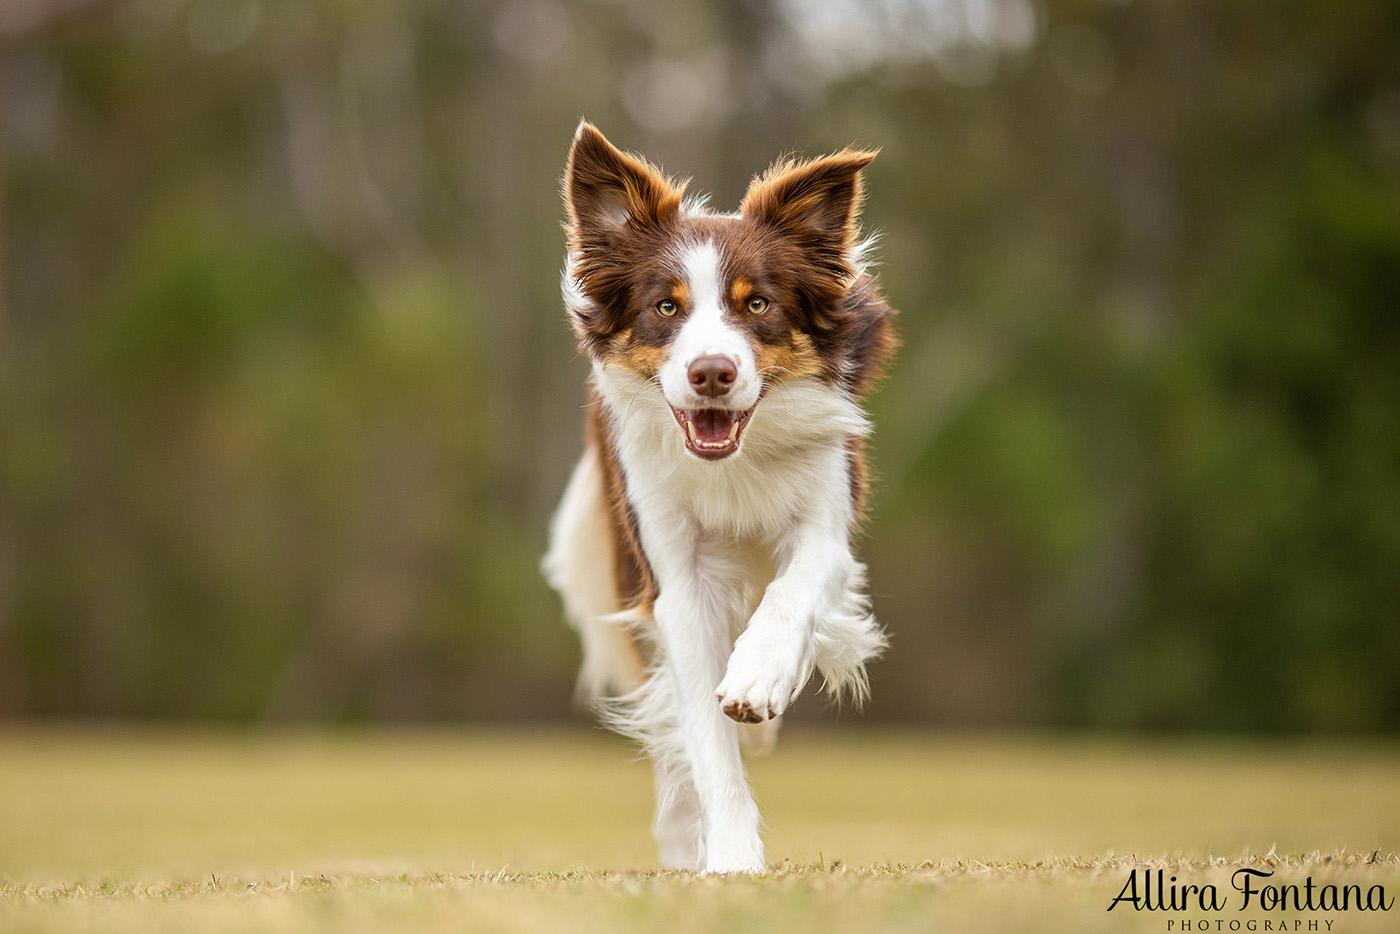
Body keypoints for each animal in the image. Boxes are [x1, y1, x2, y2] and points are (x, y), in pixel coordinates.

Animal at [540, 122, 890, 879]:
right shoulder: (670, 570)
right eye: (665, 307)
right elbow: (702, 732)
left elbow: (793, 590)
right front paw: (729, 857)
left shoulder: (828, 518)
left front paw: (759, 679)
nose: (711, 373)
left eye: (757, 304)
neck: (735, 462)